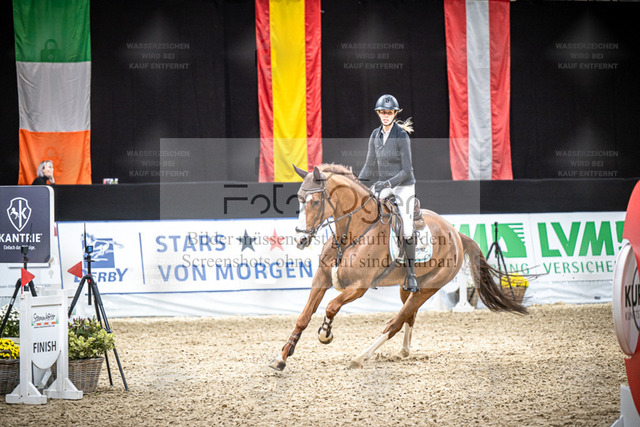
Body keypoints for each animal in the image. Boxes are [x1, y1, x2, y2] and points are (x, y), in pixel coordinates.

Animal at [269, 164, 527, 371]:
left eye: (315, 202)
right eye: (299, 200)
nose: (301, 239)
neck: (350, 236)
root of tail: (456, 233)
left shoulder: (359, 287)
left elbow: (332, 307)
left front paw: (325, 333)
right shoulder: (321, 280)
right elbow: (303, 317)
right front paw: (281, 358)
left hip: (430, 287)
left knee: (395, 323)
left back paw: (360, 358)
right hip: (409, 287)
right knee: (409, 316)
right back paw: (403, 351)